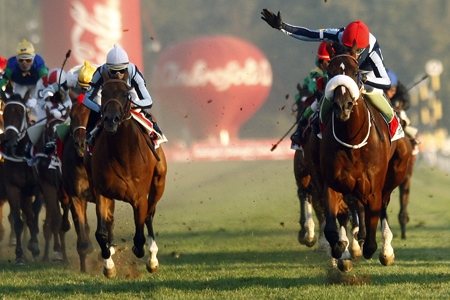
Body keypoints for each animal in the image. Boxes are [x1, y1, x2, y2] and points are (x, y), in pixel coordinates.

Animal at [84, 71, 167, 278]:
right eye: (104, 92)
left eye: (125, 94)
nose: (111, 119)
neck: (122, 154)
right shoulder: (102, 192)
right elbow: (101, 232)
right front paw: (108, 264)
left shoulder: (140, 198)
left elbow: (140, 233)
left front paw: (143, 251)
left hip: (158, 184)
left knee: (150, 215)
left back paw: (152, 258)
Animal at [320, 42, 412, 272]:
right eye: (330, 73)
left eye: (356, 73)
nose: (343, 106)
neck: (352, 142)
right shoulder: (332, 183)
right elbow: (332, 228)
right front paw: (341, 249)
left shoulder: (373, 189)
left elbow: (371, 236)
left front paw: (371, 248)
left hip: (393, 176)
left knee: (384, 207)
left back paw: (386, 250)